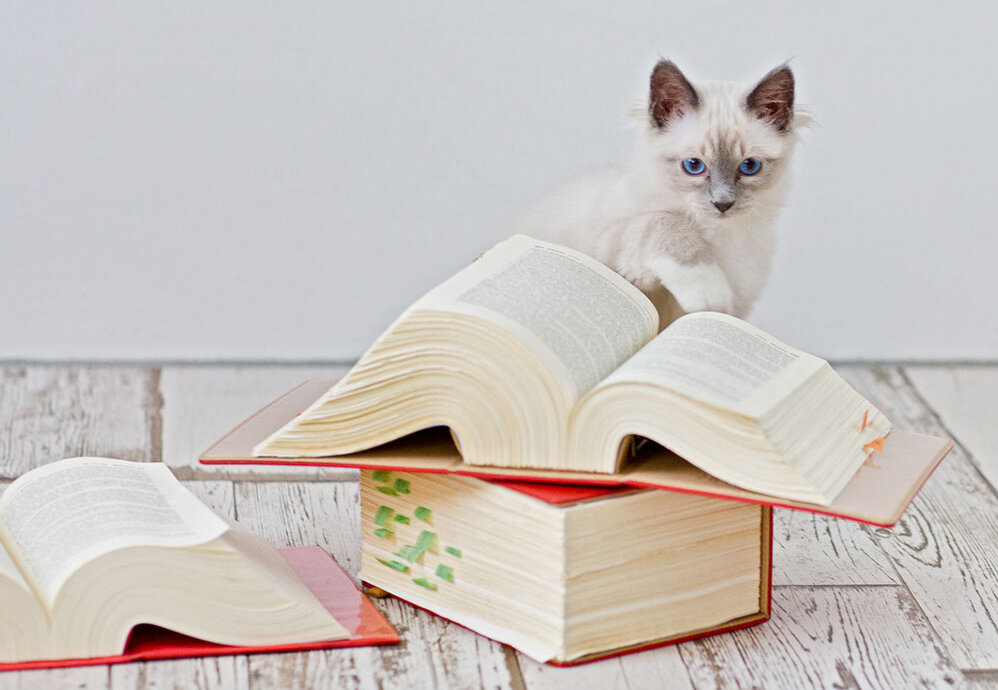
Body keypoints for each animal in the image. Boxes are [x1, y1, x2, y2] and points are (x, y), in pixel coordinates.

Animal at [516, 60, 804, 330]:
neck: (713, 235)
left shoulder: (740, 303)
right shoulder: (611, 249)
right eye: (693, 166)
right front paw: (707, 293)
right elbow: (662, 222)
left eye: (749, 166)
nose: (722, 203)